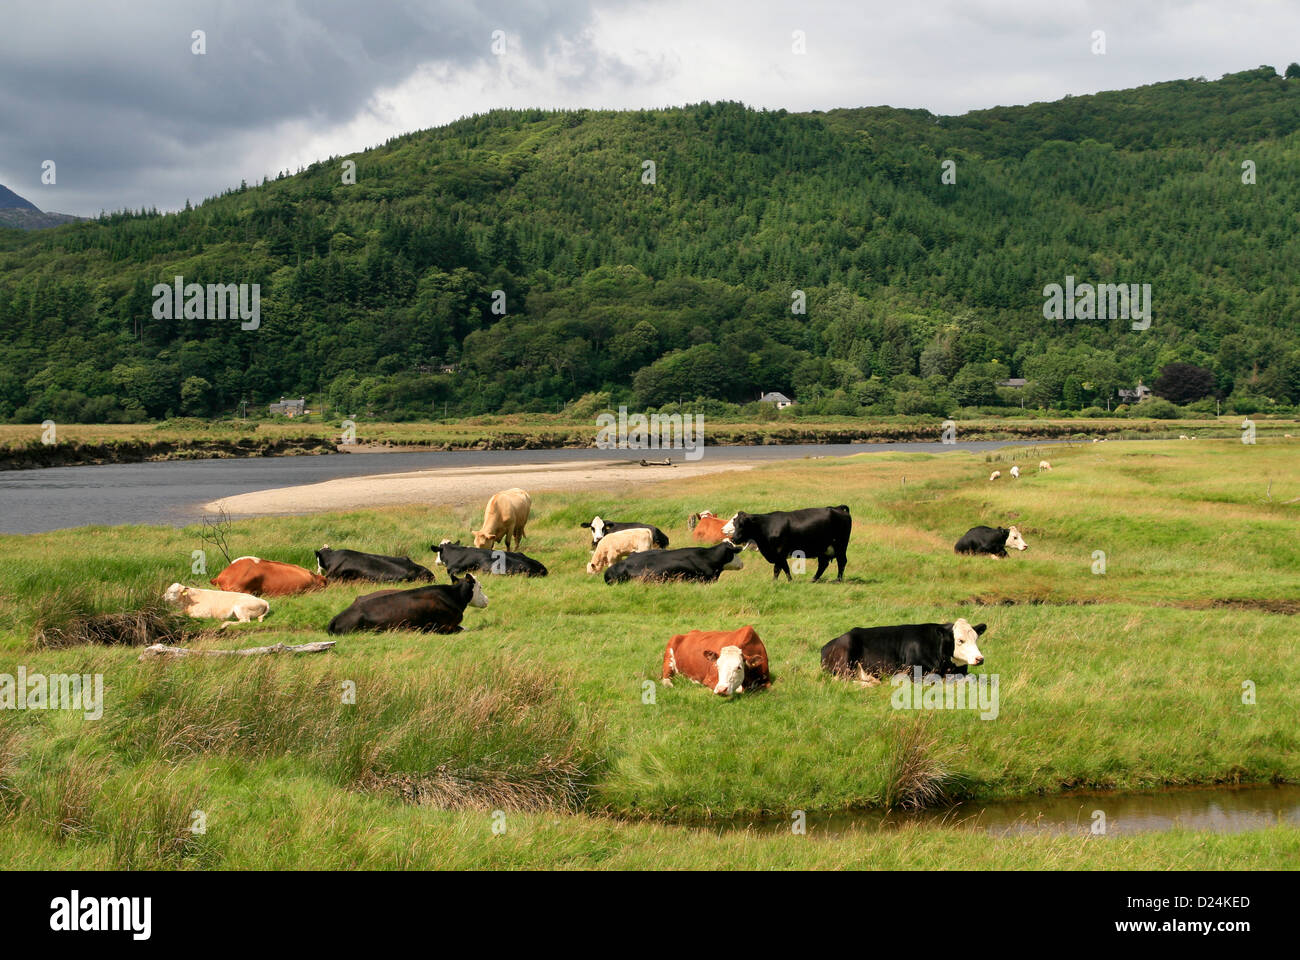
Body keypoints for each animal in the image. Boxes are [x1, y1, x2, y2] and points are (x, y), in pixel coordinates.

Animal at [721, 506, 851, 581]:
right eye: (735, 523)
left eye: (743, 525)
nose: (733, 539)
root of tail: (837, 508)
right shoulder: (776, 554)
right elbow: (782, 568)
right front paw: (782, 581)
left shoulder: (780, 552)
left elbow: (780, 568)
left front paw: (782, 581)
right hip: (823, 549)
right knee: (823, 564)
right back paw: (813, 579)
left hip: (840, 546)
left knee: (842, 562)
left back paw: (838, 579)